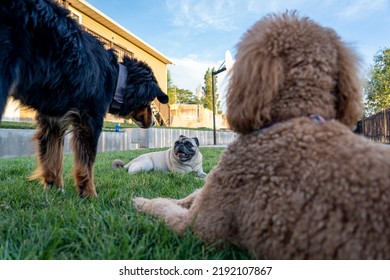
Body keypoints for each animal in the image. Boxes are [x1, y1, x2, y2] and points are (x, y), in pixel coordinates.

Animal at [0, 0, 168, 197]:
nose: (154, 123)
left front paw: (54, 188)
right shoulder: (90, 120)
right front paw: (89, 193)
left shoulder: (53, 120)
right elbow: (87, 162)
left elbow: (52, 157)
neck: (117, 77)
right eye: (150, 102)